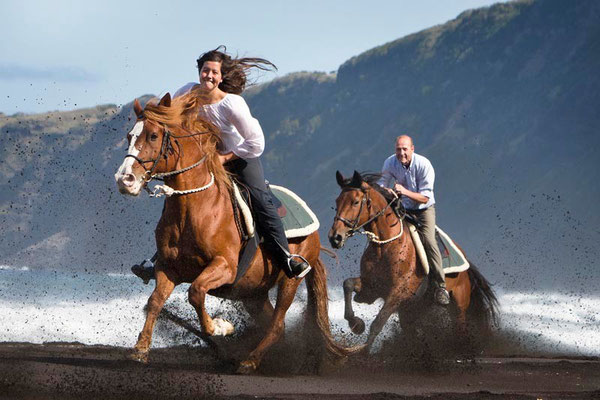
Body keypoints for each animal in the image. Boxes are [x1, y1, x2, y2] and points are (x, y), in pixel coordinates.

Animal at [115, 93, 364, 372]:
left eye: (153, 136)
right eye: (129, 136)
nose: (124, 179)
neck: (195, 209)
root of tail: (316, 234)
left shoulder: (225, 266)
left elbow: (196, 292)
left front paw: (220, 327)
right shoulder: (168, 268)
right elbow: (155, 301)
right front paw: (140, 349)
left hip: (289, 281)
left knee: (277, 323)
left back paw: (250, 360)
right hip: (253, 293)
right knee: (272, 322)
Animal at [328, 170, 496, 352]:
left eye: (355, 202)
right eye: (337, 201)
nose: (335, 237)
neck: (385, 246)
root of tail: (464, 260)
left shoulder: (397, 293)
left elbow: (377, 323)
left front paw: (363, 352)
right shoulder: (372, 287)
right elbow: (348, 284)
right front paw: (356, 324)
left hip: (458, 307)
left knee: (460, 329)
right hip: (412, 310)